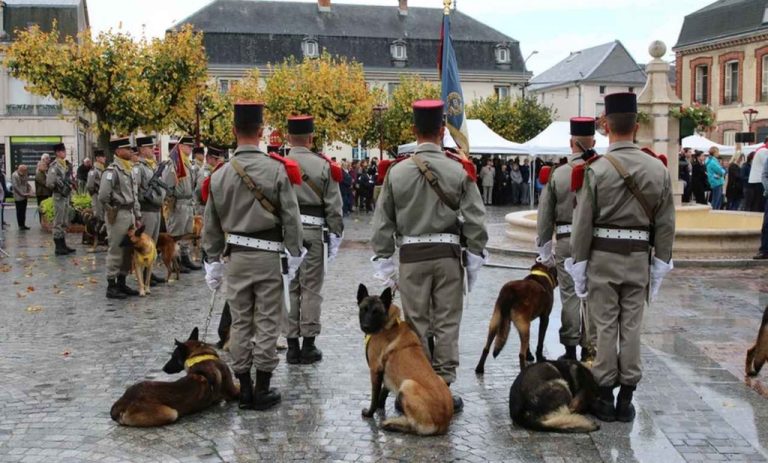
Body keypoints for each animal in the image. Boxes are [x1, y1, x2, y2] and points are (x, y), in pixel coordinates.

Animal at [109, 328, 238, 430]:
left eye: (173, 356)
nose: (163, 368)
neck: (201, 356)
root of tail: (123, 401)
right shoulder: (233, 392)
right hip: (172, 413)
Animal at [356, 284, 452, 436]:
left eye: (376, 312)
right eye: (363, 309)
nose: (366, 326)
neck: (387, 325)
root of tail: (443, 422)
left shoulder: (375, 370)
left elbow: (374, 396)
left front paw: (370, 413)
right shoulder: (386, 373)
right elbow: (383, 392)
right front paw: (380, 408)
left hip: (407, 384)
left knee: (414, 427)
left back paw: (391, 424)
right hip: (439, 378)